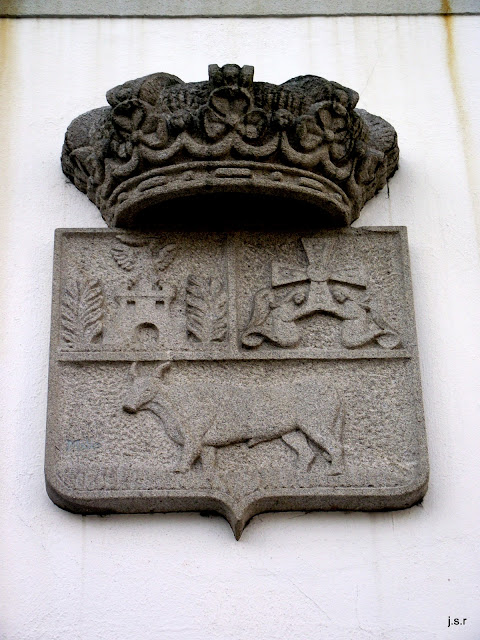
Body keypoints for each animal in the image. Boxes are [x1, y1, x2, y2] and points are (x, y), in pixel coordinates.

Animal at [123, 362, 344, 475]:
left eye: (148, 389)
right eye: (132, 388)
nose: (128, 406)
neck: (172, 407)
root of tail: (331, 386)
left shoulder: (194, 436)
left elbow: (187, 455)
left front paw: (179, 470)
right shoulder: (207, 444)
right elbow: (209, 465)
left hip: (315, 424)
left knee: (335, 446)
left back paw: (335, 471)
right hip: (291, 432)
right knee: (307, 453)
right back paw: (297, 473)